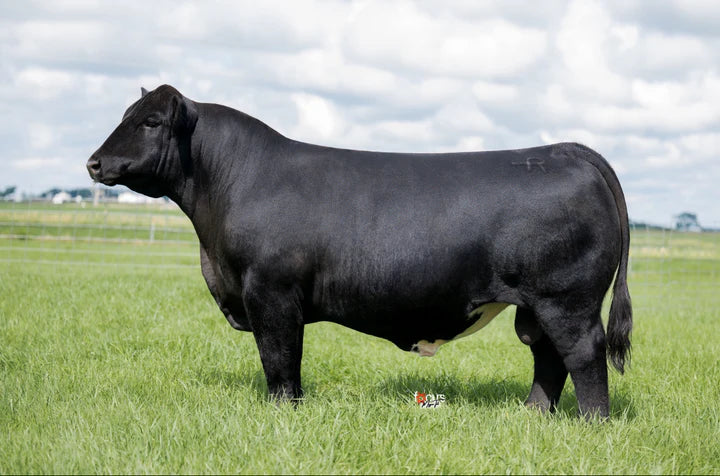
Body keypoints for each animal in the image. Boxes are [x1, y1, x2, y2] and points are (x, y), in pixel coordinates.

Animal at [87, 85, 632, 418]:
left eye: (151, 121)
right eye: (126, 116)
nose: (93, 163)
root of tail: (562, 150)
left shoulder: (270, 293)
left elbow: (279, 359)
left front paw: (283, 412)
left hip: (566, 298)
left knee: (582, 352)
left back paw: (592, 423)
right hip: (537, 305)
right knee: (547, 355)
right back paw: (532, 414)